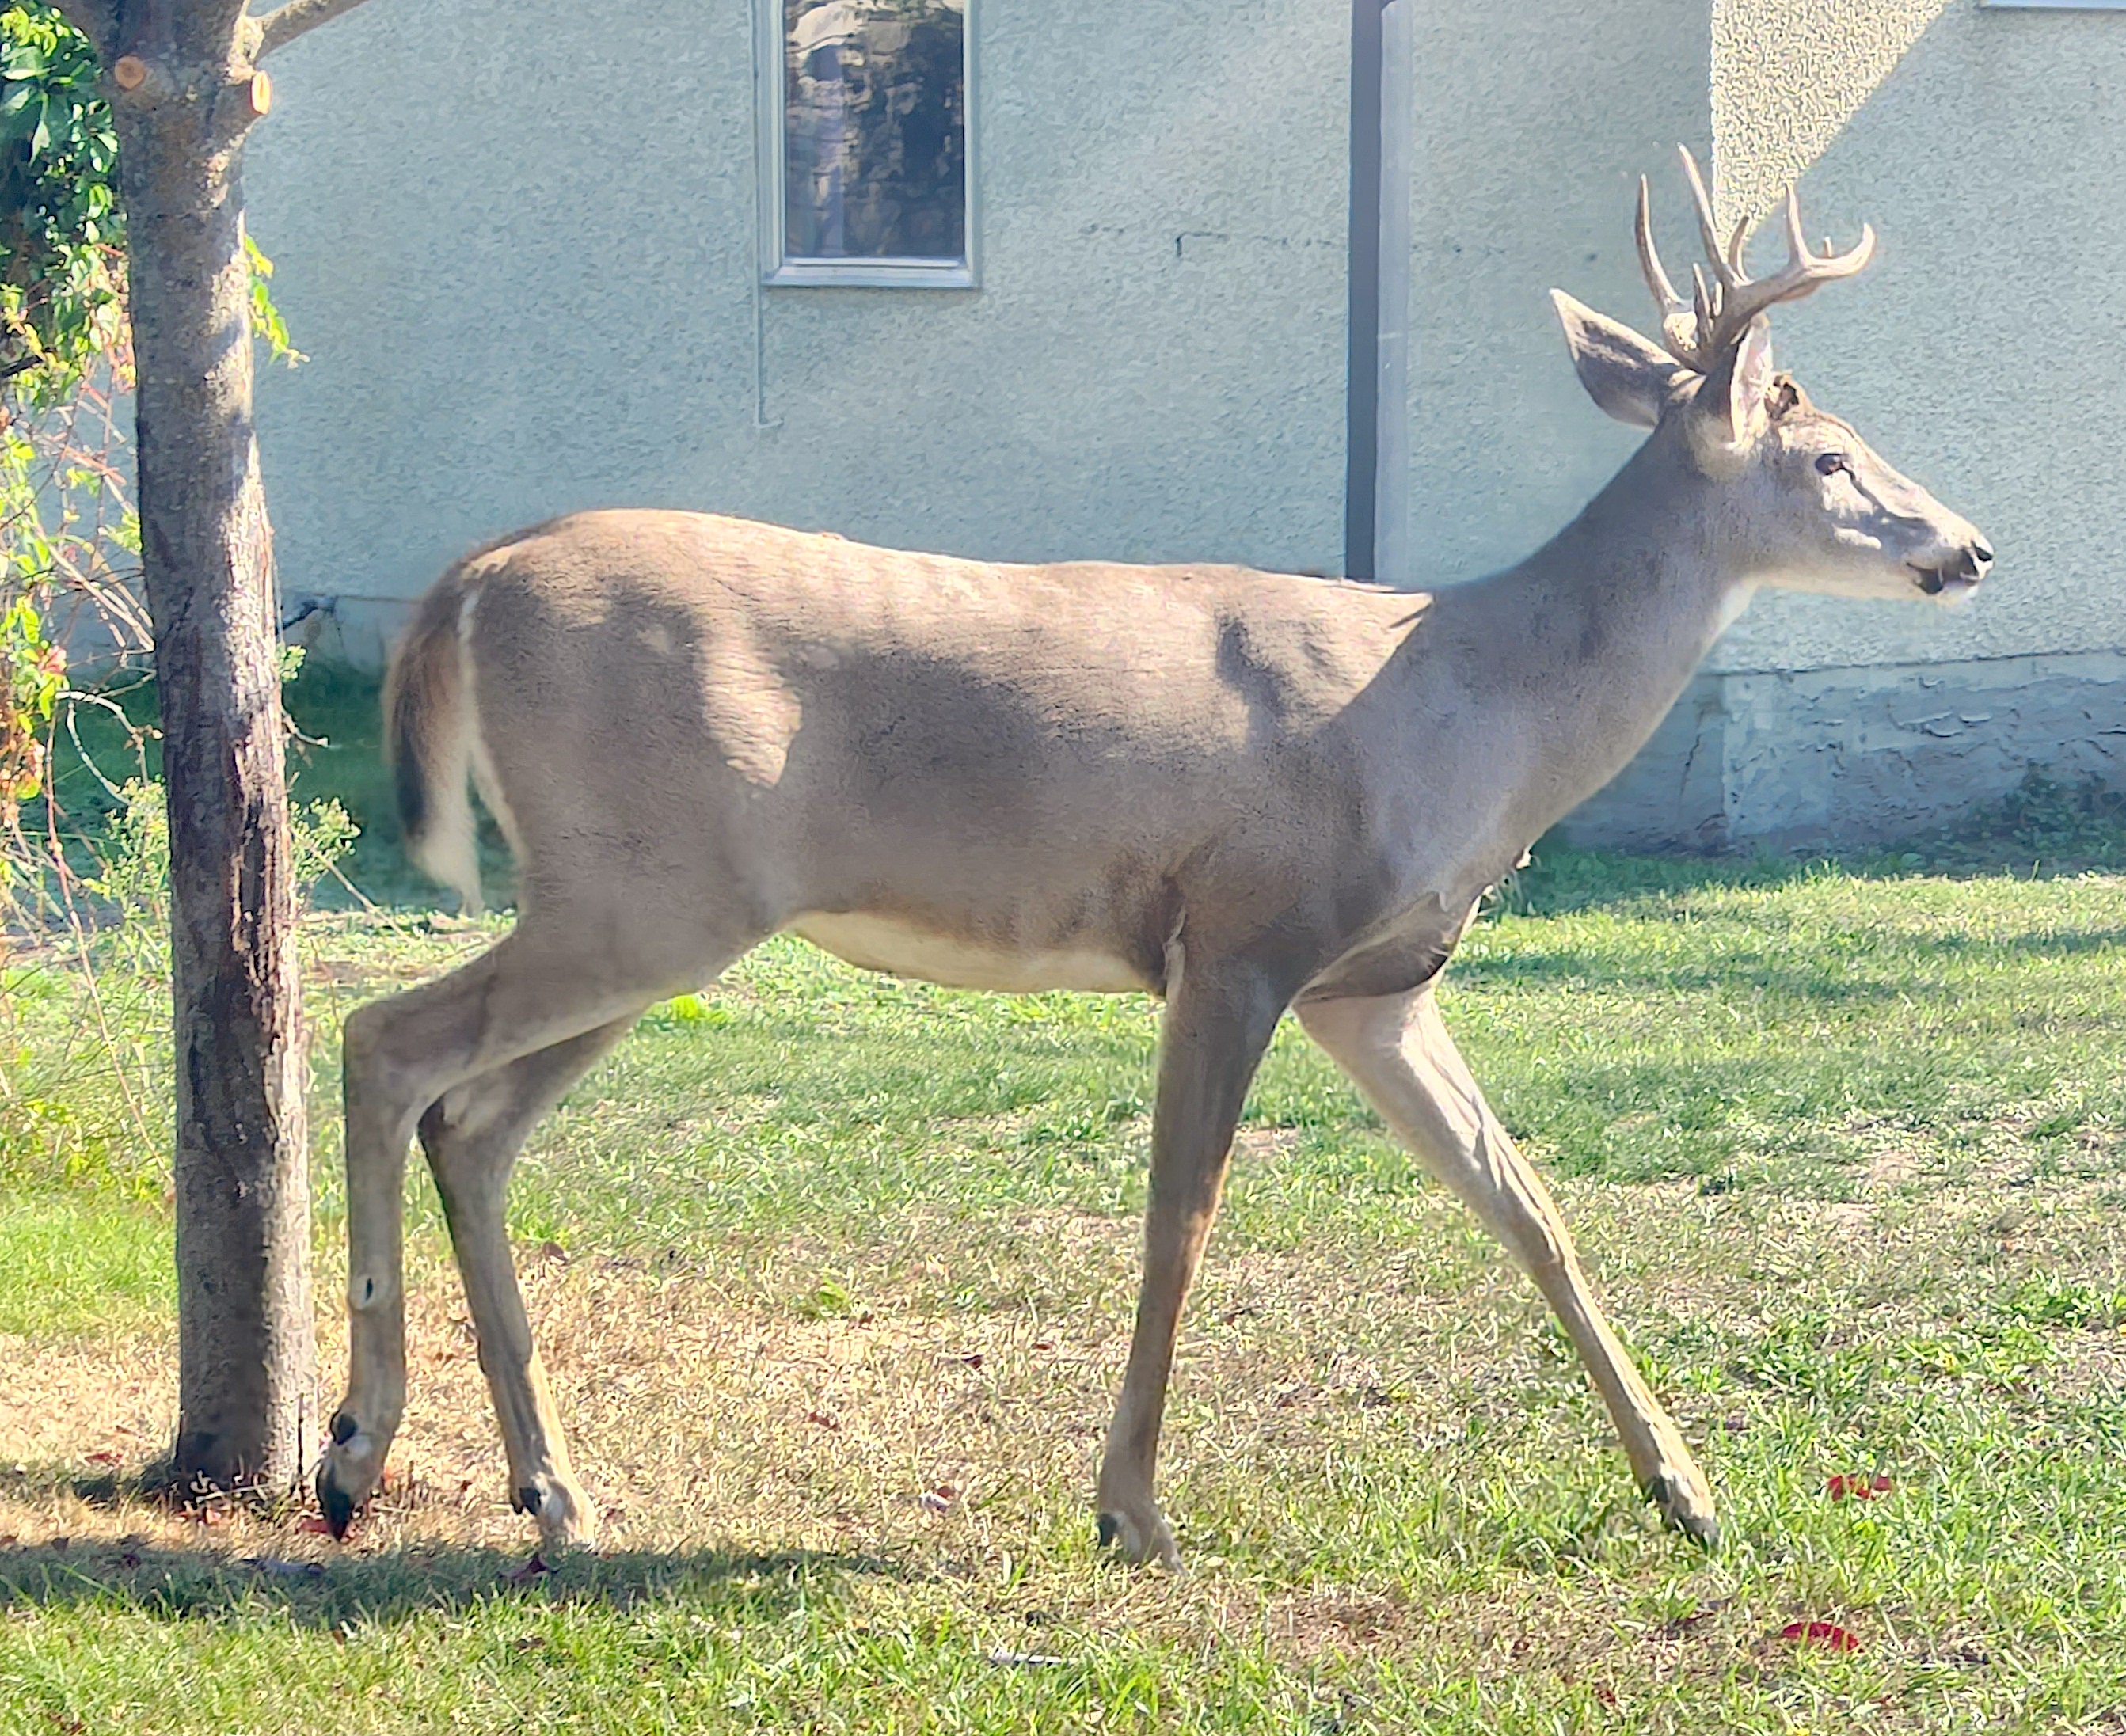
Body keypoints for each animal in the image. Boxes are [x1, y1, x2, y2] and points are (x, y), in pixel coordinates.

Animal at [316, 149, 1992, 1566]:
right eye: (1831, 455)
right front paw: (1131, 1507)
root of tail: (473, 576)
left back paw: (550, 1493)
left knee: (473, 1117)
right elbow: (1180, 1220)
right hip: (643, 884)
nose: (1970, 546)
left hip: (658, 905)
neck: (1464, 703)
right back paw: (352, 1450)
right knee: (384, 1039)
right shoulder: (1240, 933)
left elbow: (1531, 1208)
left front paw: (1685, 1488)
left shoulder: (1374, 984)